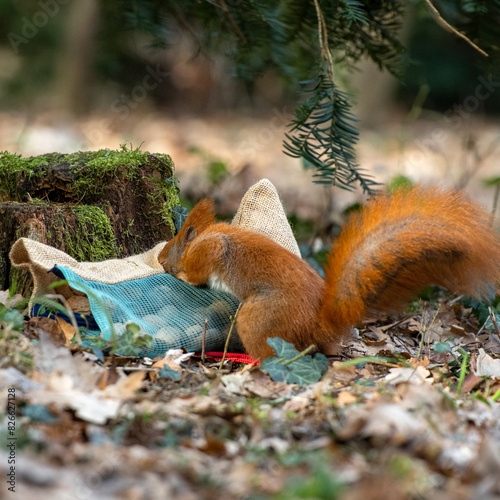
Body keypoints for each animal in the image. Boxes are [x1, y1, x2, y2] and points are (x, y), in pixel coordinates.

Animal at [159, 186, 500, 362]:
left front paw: (183, 276)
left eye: (176, 242)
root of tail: (322, 323)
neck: (208, 234)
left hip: (259, 318)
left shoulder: (212, 248)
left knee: (268, 356)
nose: (160, 259)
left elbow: (198, 272)